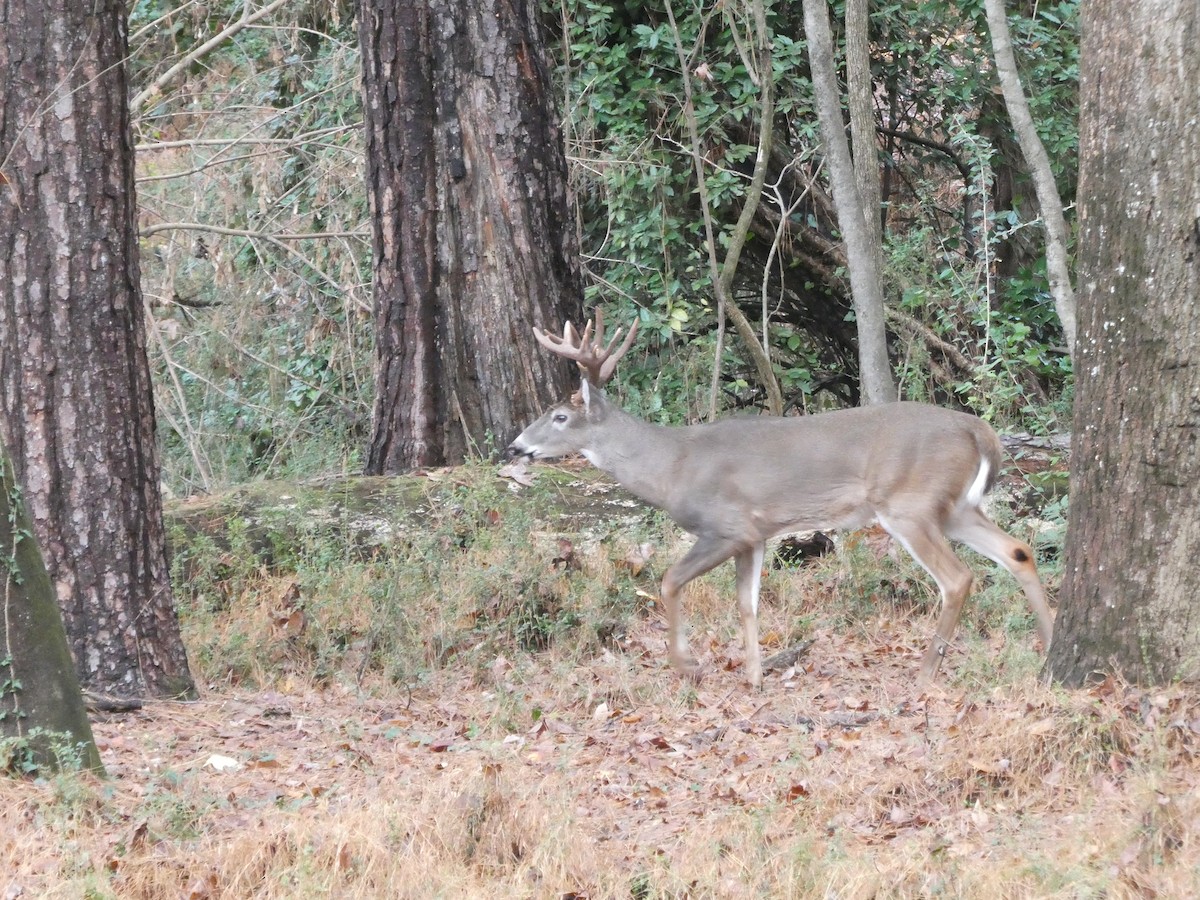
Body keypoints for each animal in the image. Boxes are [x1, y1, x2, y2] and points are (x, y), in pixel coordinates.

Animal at [505, 312, 1054, 689]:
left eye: (558, 417)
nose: (515, 446)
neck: (671, 466)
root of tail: (979, 429)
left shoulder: (727, 526)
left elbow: (668, 581)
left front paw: (686, 665)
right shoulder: (756, 535)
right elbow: (747, 604)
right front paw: (754, 675)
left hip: (909, 503)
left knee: (958, 578)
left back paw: (925, 671)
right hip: (957, 506)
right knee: (1018, 551)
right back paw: (1047, 647)